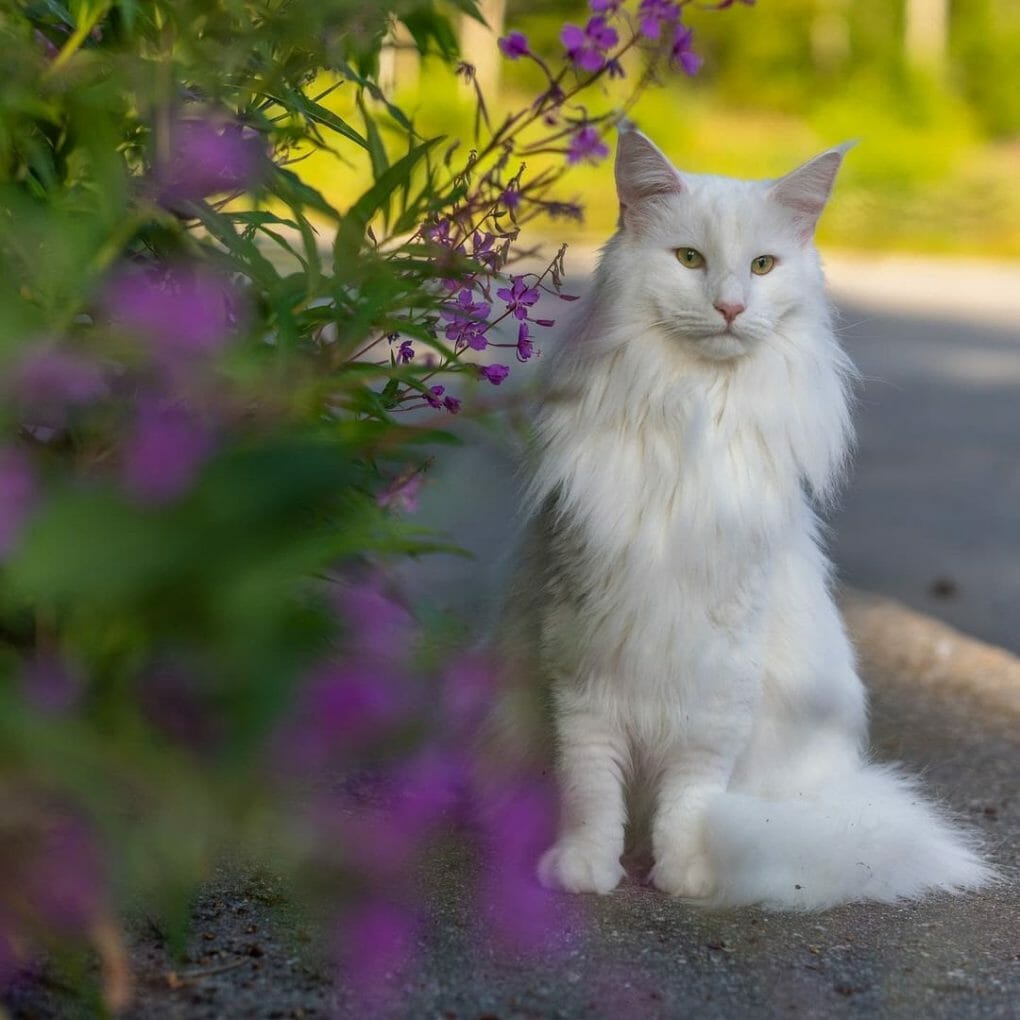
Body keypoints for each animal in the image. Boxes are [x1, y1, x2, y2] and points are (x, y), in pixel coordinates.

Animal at [497, 125, 991, 909]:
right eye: (689, 259)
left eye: (762, 266)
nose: (729, 307)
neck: (694, 415)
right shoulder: (582, 664)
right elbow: (591, 787)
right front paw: (584, 871)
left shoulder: (720, 675)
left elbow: (691, 794)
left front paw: (683, 877)